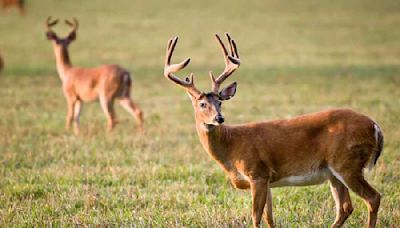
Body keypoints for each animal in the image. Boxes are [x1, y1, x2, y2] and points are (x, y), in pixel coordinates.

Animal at [163, 33, 384, 228]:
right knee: (345, 207)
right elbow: (269, 218)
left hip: (348, 163)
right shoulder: (267, 180)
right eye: (202, 104)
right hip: (334, 172)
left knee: (373, 197)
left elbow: (255, 217)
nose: (219, 118)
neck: (231, 146)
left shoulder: (257, 173)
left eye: (220, 102)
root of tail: (375, 126)